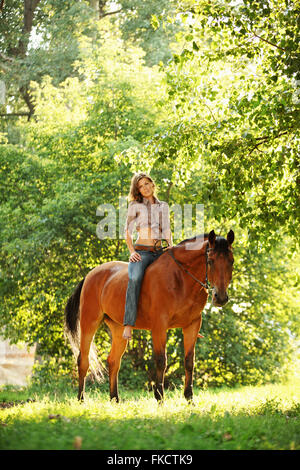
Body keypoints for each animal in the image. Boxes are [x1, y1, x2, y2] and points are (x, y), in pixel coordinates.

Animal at [65, 229, 234, 402]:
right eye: (211, 261)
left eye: (231, 262)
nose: (221, 297)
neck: (181, 278)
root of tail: (90, 275)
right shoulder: (159, 326)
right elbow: (161, 361)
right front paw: (160, 398)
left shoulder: (192, 325)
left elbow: (189, 362)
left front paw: (189, 399)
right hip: (89, 324)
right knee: (83, 361)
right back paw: (81, 400)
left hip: (118, 329)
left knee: (113, 361)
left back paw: (115, 400)